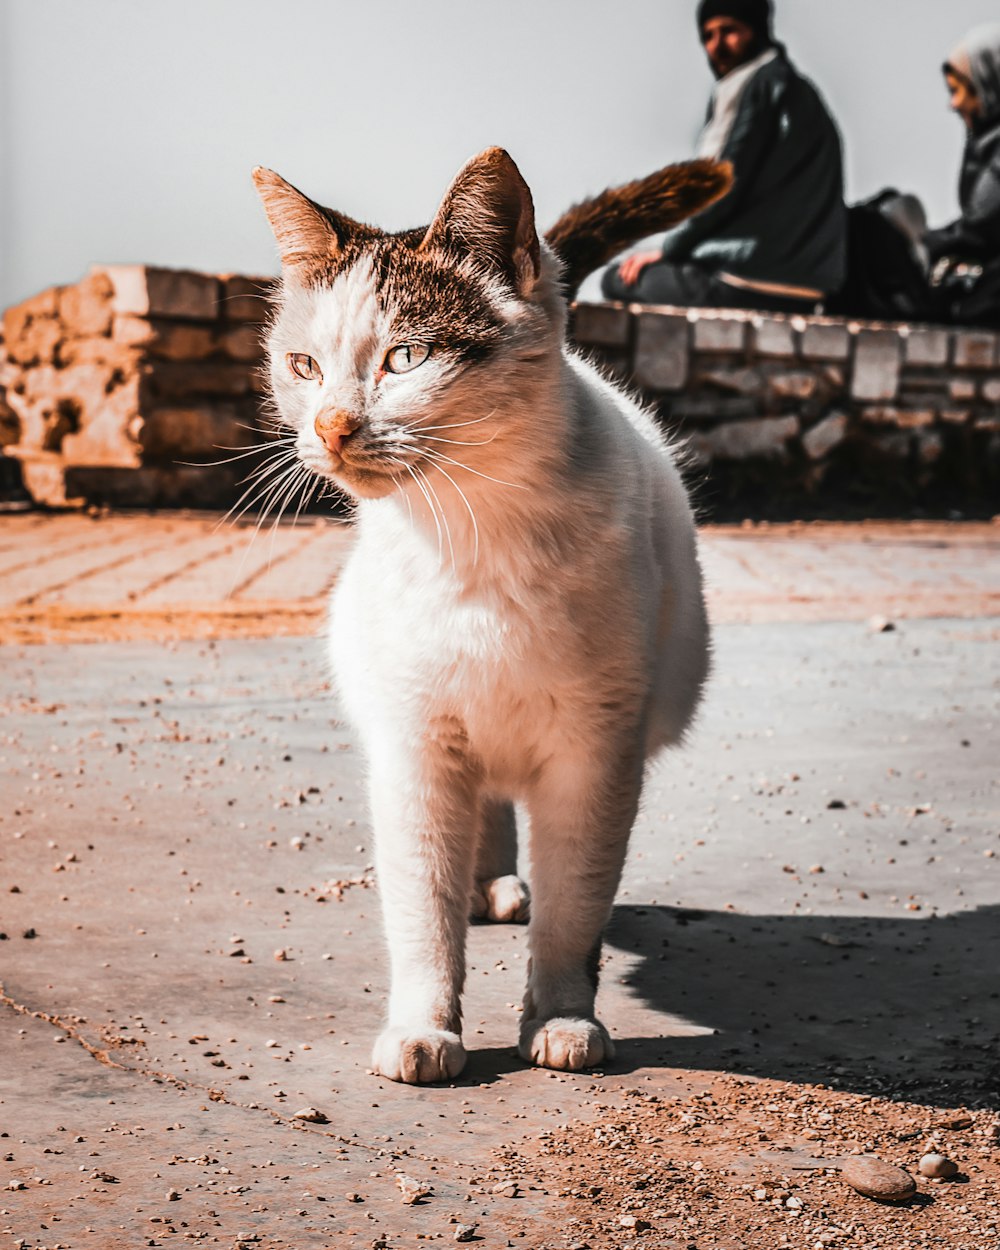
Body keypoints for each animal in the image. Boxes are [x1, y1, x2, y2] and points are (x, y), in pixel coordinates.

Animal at [253, 146, 730, 1085]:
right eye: (304, 367)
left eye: (405, 358)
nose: (329, 426)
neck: (472, 535)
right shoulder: (416, 748)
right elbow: (420, 910)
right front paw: (423, 1025)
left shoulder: (595, 751)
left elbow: (575, 904)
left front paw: (563, 1017)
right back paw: (485, 883)